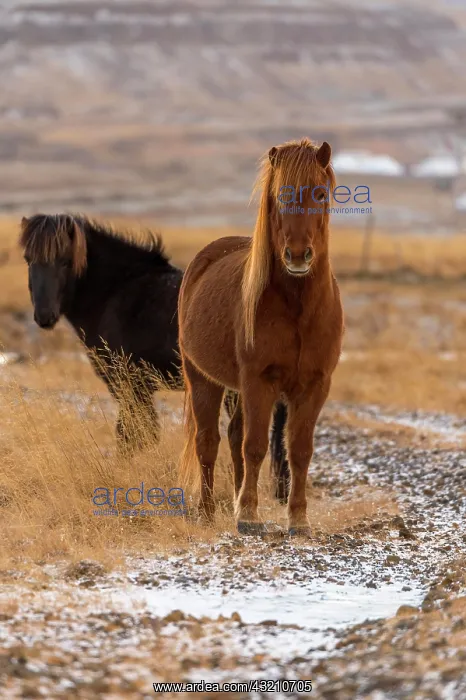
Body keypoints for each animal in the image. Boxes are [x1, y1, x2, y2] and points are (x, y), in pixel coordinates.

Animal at [19, 213, 290, 497]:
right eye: (28, 259)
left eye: (65, 261)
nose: (44, 316)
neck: (115, 291)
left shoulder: (130, 384)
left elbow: (134, 435)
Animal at [178, 138, 344, 536]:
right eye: (279, 196)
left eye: (320, 193)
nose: (297, 255)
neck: (298, 309)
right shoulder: (258, 380)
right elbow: (255, 446)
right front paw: (249, 516)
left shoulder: (316, 385)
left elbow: (299, 450)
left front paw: (298, 519)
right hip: (202, 378)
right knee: (208, 442)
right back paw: (208, 512)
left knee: (234, 437)